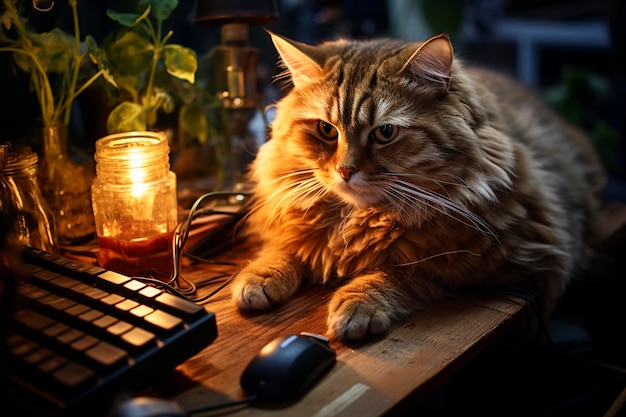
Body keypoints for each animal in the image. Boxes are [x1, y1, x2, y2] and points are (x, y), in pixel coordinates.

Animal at [230, 31, 604, 338]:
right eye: (326, 130)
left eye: (385, 132)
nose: (345, 171)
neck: (359, 217)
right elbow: (285, 245)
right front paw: (260, 278)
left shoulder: (499, 264)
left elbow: (399, 272)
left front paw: (356, 306)